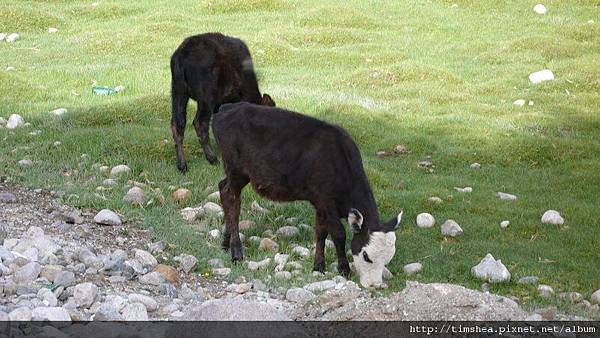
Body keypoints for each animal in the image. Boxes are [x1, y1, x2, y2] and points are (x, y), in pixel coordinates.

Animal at [168, 32, 274, 172]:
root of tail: (182, 54)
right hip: (206, 97)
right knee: (199, 123)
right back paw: (212, 158)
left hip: (178, 91)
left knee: (177, 123)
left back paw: (182, 165)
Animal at [213, 103, 400, 288]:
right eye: (366, 256)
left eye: (388, 258)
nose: (374, 285)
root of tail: (226, 108)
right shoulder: (326, 200)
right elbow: (338, 233)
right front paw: (344, 269)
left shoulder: (319, 202)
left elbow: (321, 232)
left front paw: (318, 266)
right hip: (236, 169)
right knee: (232, 199)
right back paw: (236, 252)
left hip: (238, 174)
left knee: (223, 188)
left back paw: (225, 243)